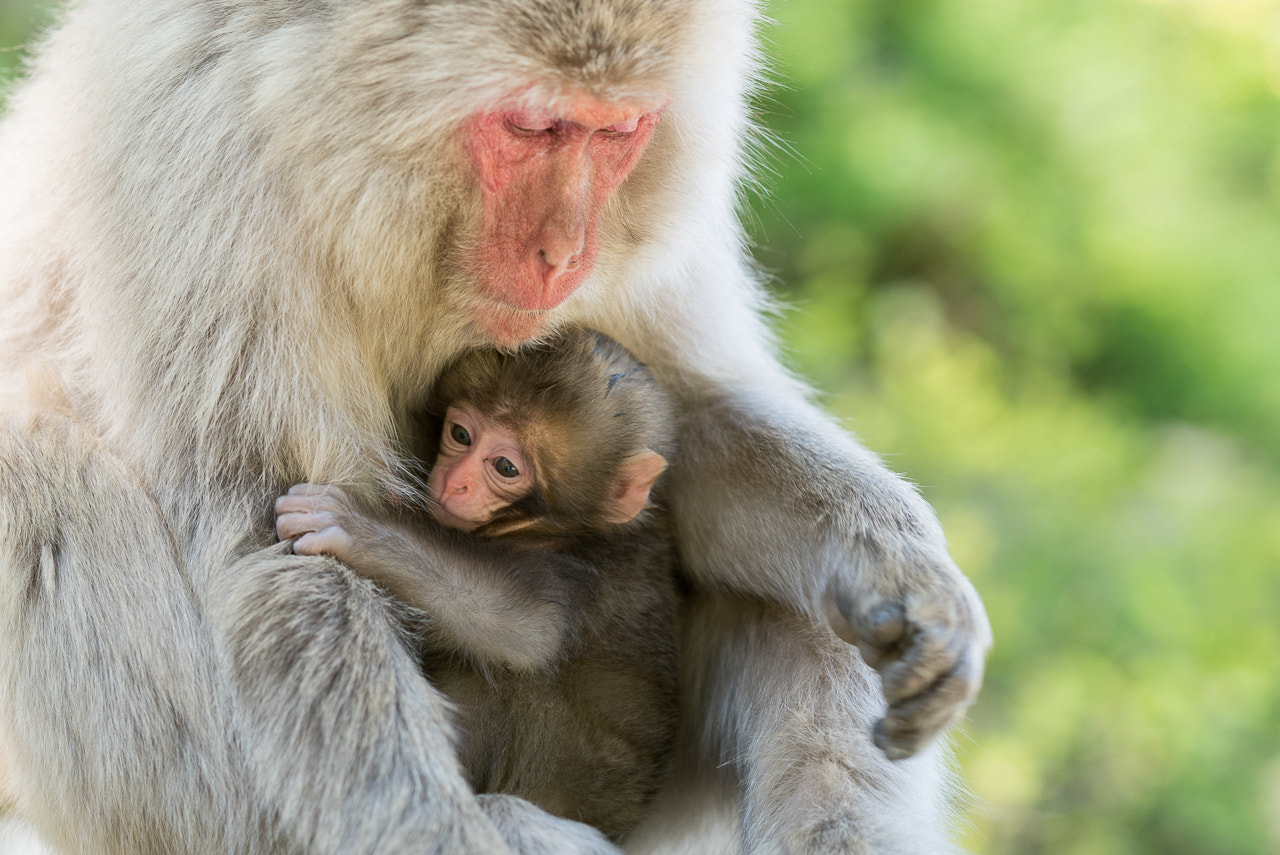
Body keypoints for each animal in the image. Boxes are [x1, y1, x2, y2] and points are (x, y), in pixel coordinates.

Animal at [276, 330, 686, 839]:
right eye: (461, 435)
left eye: (506, 467)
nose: (454, 482)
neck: (577, 531)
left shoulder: (587, 573)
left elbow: (526, 626)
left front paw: (357, 527)